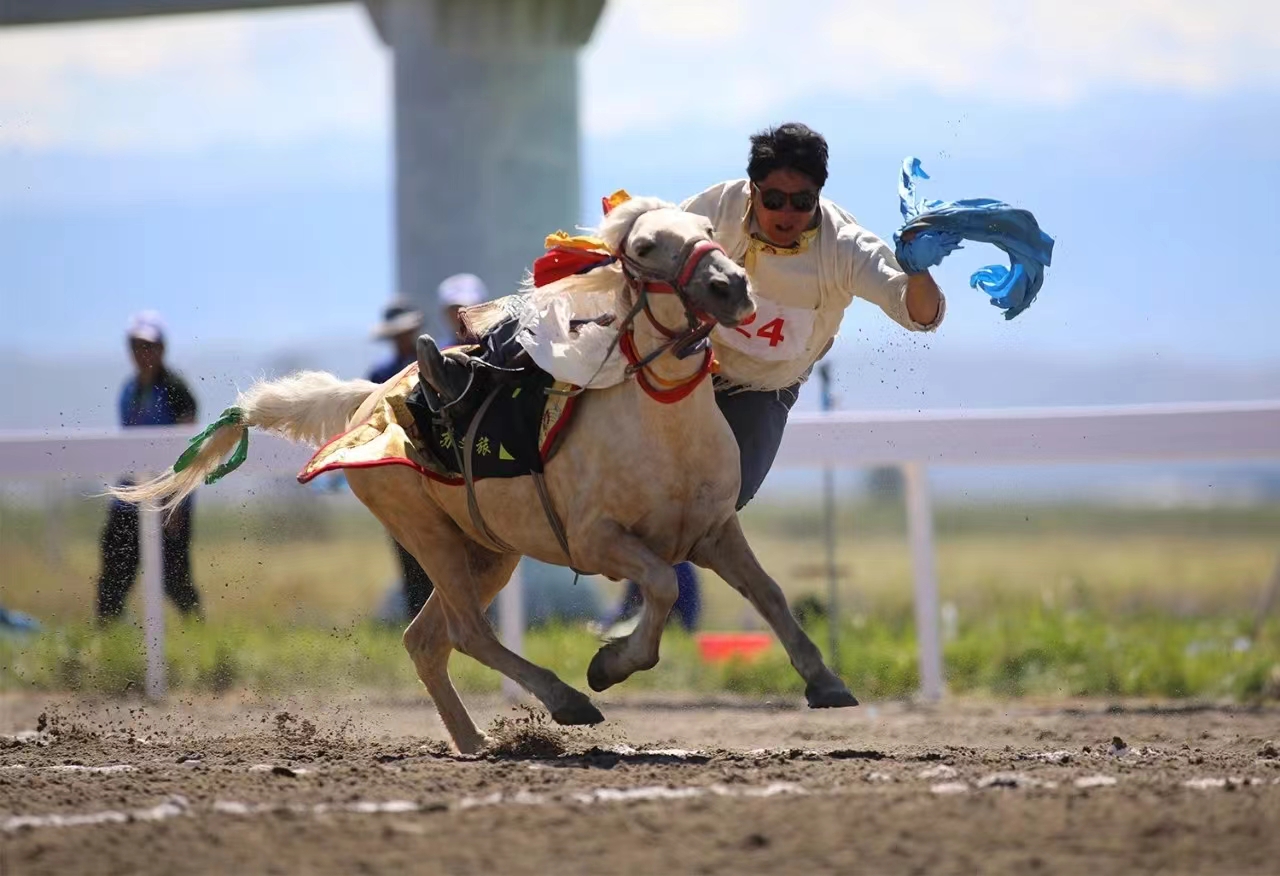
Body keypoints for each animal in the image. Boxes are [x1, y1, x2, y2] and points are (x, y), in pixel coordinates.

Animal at [117, 199, 860, 753]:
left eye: (707, 233)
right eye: (648, 246)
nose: (731, 287)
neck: (663, 428)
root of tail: (368, 398)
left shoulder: (712, 531)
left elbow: (768, 594)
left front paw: (825, 682)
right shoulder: (599, 541)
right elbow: (658, 588)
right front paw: (608, 665)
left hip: (487, 551)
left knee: (426, 640)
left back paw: (474, 742)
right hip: (427, 535)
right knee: (468, 633)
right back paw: (565, 701)